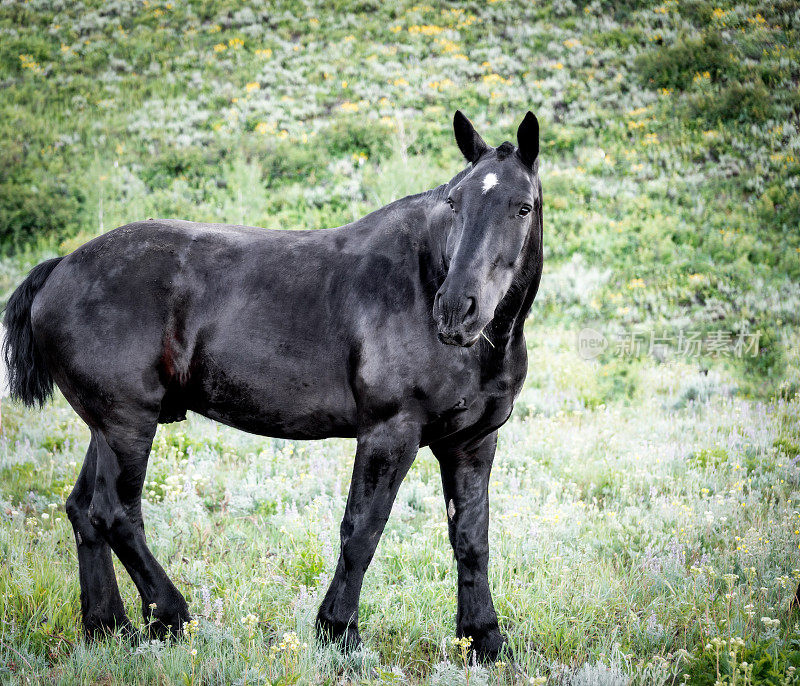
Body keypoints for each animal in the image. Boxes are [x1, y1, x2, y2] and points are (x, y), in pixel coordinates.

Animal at [3, 111, 540, 660]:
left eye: (523, 207)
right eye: (455, 202)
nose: (455, 310)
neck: (420, 279)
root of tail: (60, 269)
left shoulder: (471, 442)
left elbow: (471, 539)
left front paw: (484, 639)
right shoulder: (389, 433)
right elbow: (362, 530)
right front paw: (338, 632)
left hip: (106, 427)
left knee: (83, 512)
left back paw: (108, 628)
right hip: (127, 425)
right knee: (114, 515)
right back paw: (171, 617)